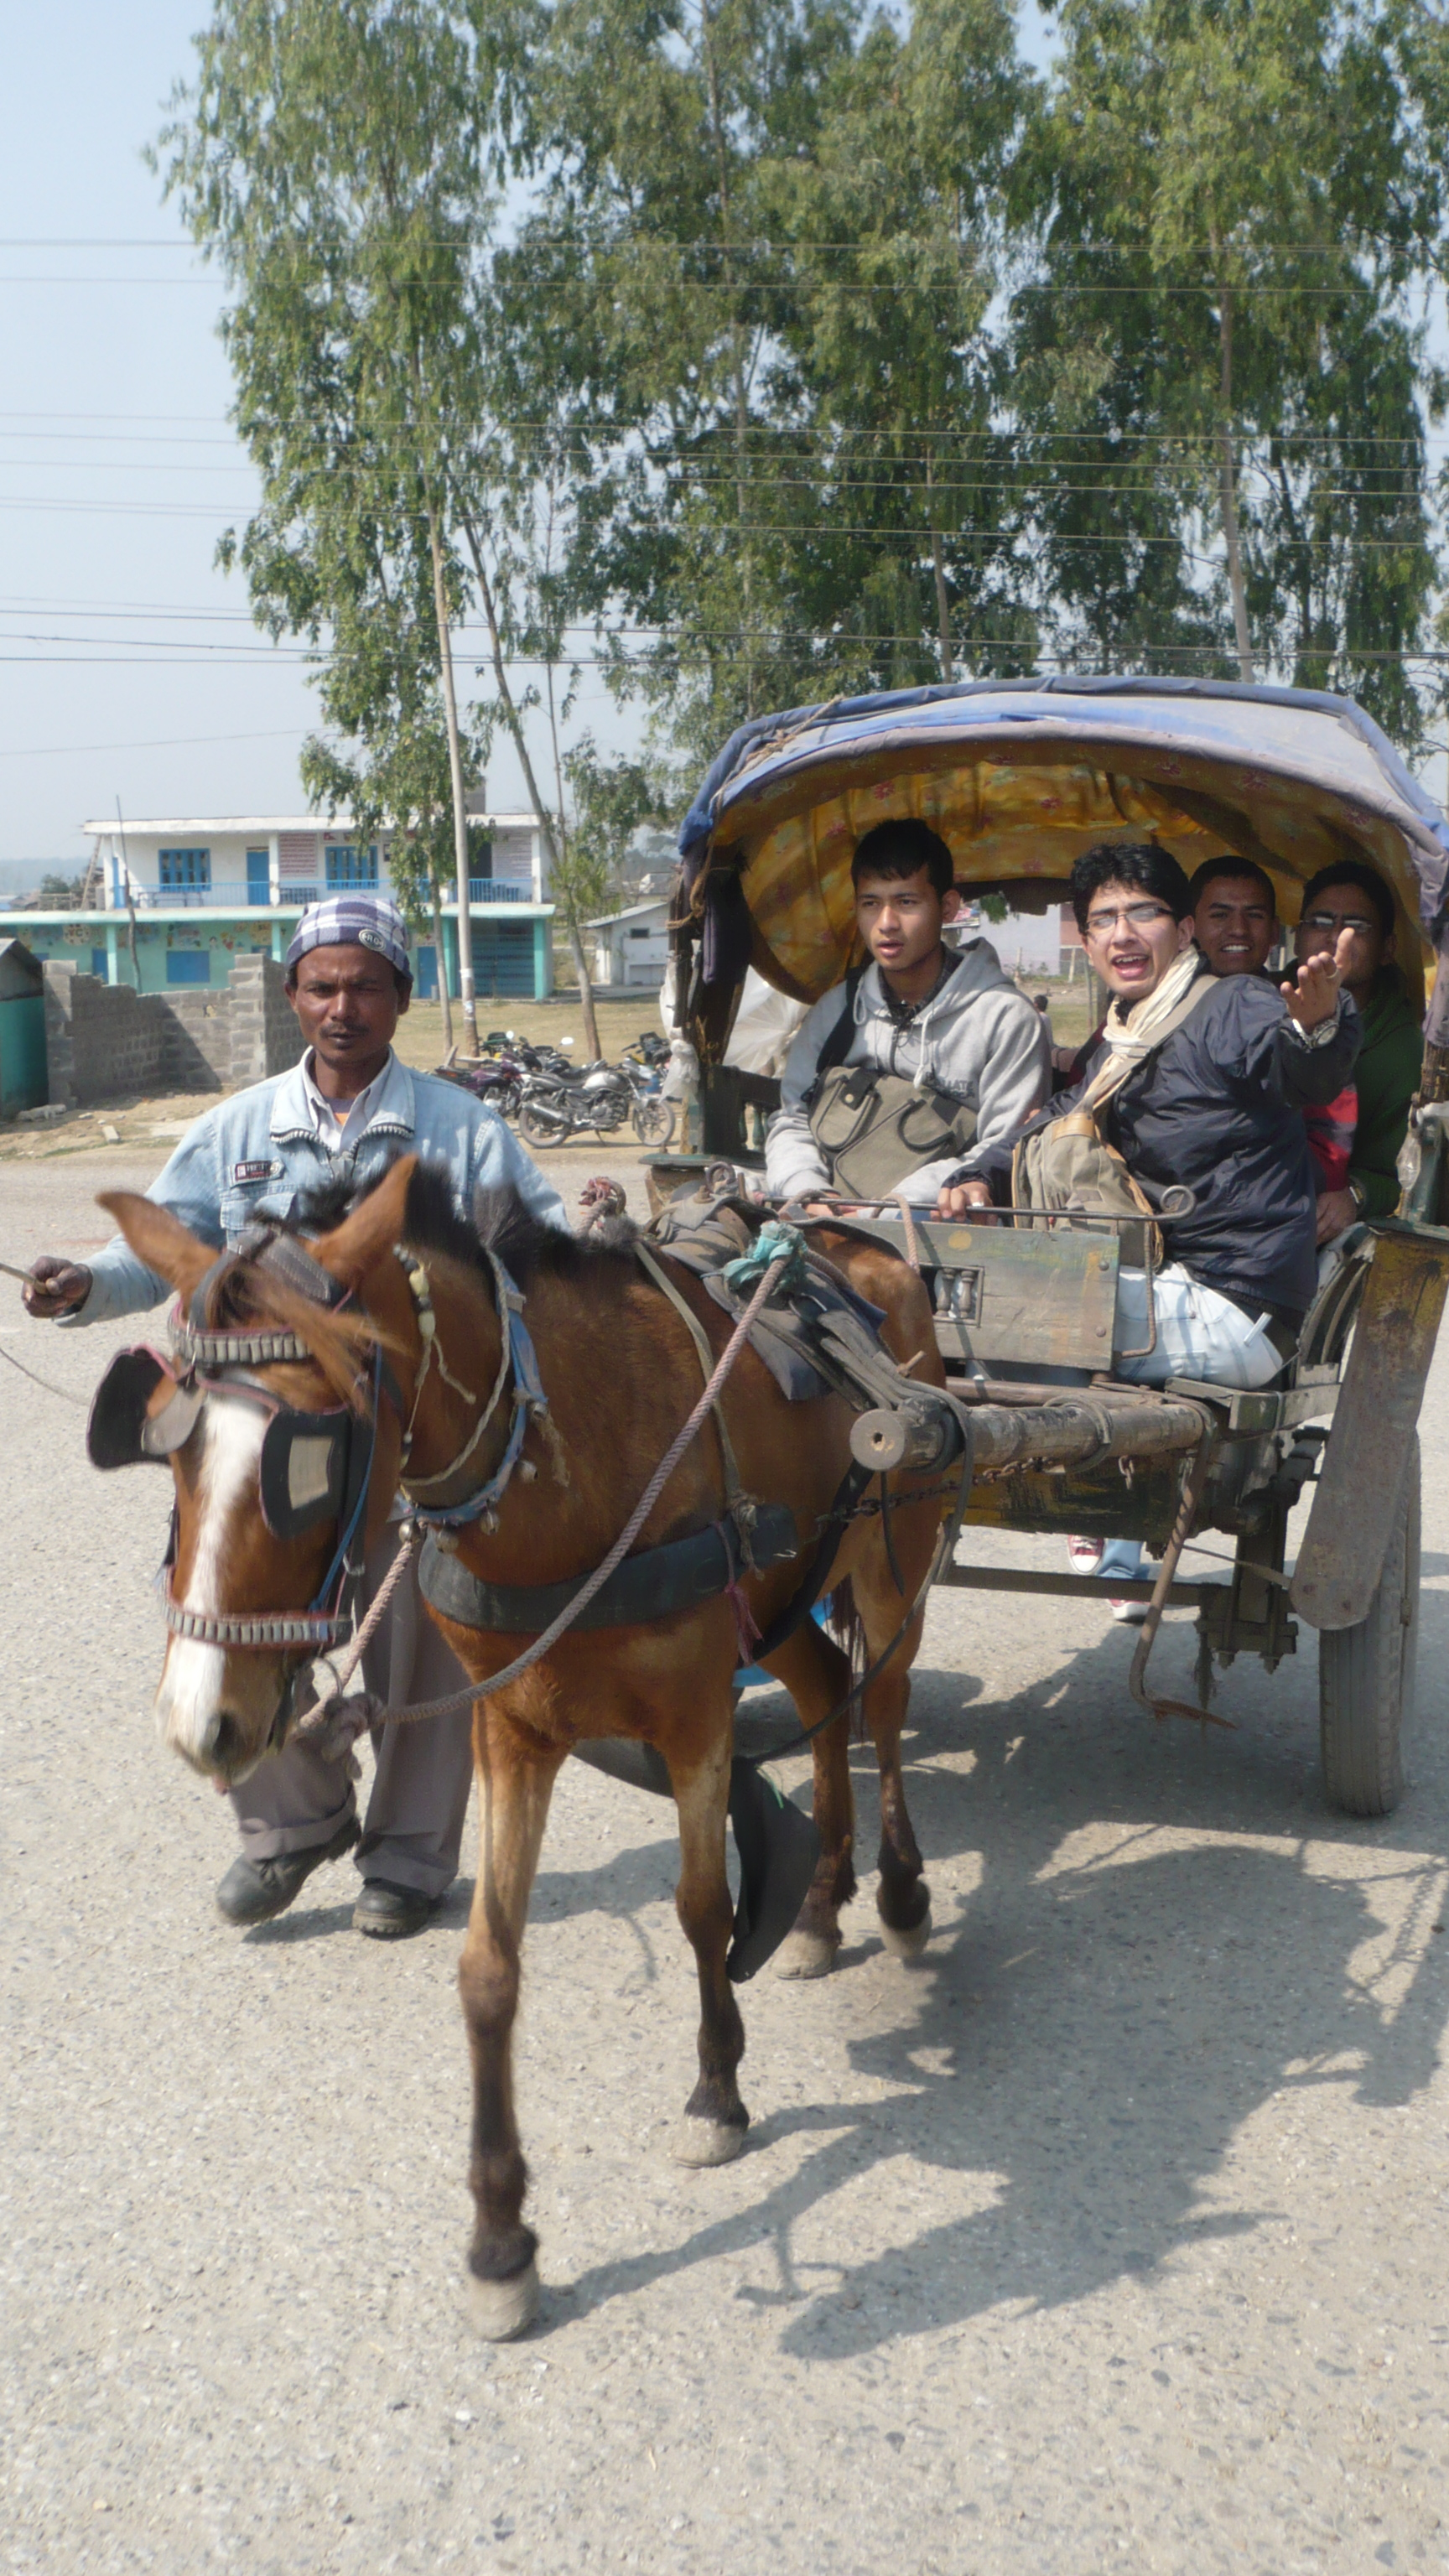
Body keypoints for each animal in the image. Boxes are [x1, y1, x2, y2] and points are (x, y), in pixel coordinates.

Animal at [92, 1159, 948, 2349]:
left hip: (892, 1545)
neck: (570, 1457)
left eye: (308, 1457)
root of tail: (850, 1236)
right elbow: (488, 1967)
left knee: (884, 1706)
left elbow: (703, 1909)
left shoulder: (696, 1714)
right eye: (170, 1441)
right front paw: (501, 2239)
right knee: (828, 1689)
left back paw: (901, 1893)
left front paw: (716, 2093)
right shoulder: (513, 1729)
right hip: (785, 1596)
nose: (199, 1720)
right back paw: (822, 1906)